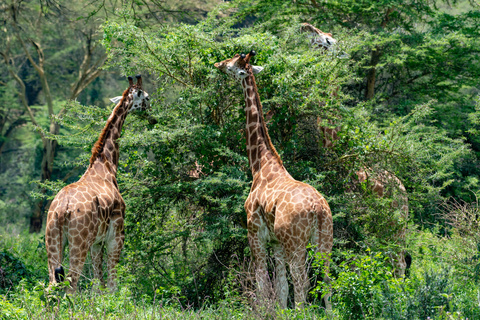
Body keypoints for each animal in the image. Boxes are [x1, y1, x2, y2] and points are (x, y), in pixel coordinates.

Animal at [45, 75, 150, 292]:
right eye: (147, 98)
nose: (151, 114)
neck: (107, 164)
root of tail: (62, 209)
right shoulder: (116, 236)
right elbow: (111, 285)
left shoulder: (96, 242)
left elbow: (97, 285)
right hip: (79, 242)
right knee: (71, 285)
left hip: (53, 239)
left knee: (52, 285)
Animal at [215, 51, 334, 308]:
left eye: (232, 63)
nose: (218, 64)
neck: (260, 164)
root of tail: (318, 209)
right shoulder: (277, 242)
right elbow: (280, 287)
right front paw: (279, 311)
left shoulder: (255, 234)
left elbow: (262, 283)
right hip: (325, 240)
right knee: (326, 280)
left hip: (296, 243)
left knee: (303, 282)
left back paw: (302, 312)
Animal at [300, 22, 408, 276]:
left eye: (328, 41)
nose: (305, 26)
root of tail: (403, 189)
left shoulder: (350, 222)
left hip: (396, 227)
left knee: (399, 264)